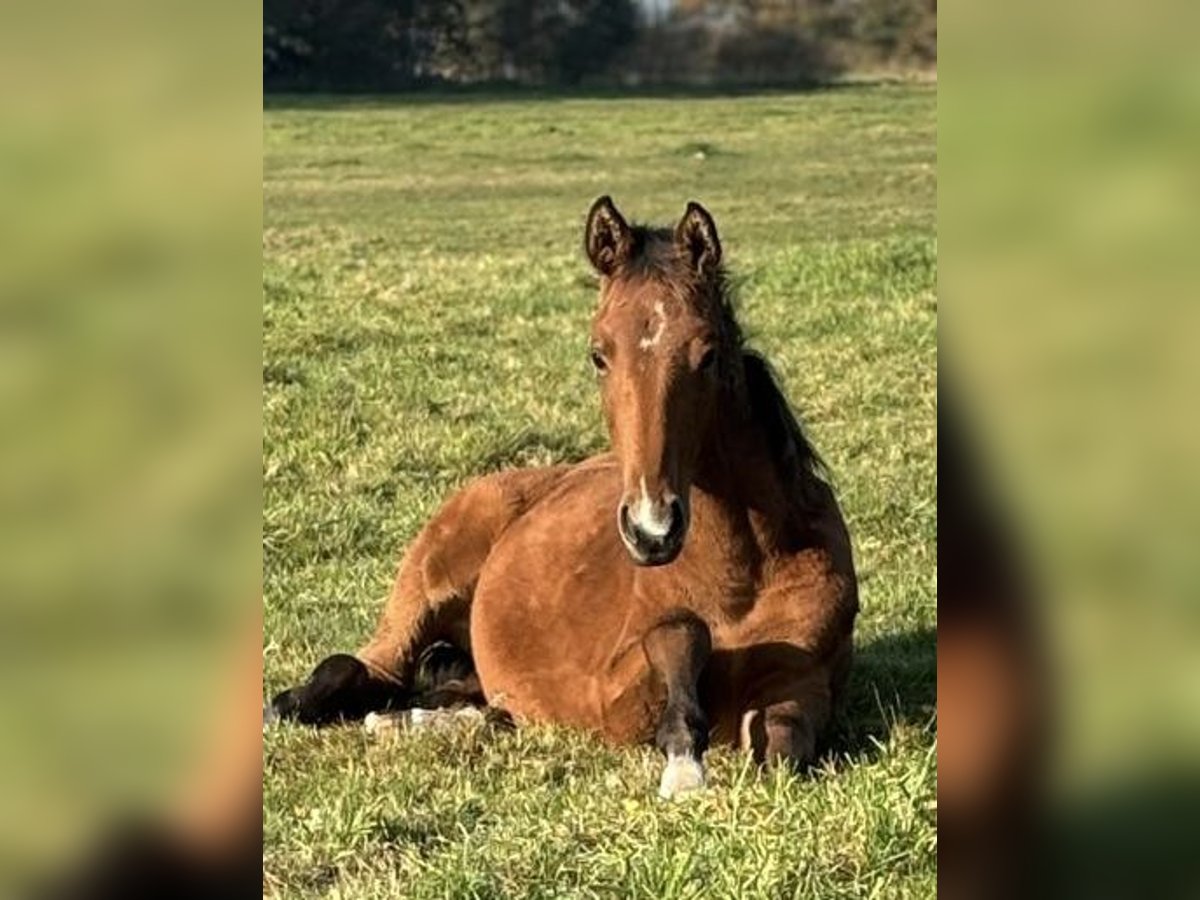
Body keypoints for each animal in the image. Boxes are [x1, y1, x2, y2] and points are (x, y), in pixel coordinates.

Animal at [271, 196, 854, 796]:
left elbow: (783, 747)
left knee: (474, 701)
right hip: (420, 596)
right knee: (362, 667)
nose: (652, 529)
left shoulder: (804, 684)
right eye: (599, 354)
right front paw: (684, 765)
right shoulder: (606, 693)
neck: (741, 577)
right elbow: (680, 632)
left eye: (708, 353)